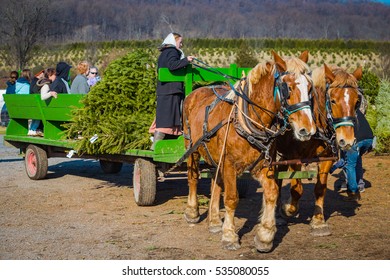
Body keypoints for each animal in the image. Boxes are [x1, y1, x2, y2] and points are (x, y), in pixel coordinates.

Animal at [183, 50, 316, 252]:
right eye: (288, 88)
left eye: (309, 87)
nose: (307, 129)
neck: (248, 121)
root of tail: (197, 92)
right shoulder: (229, 164)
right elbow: (231, 198)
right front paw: (230, 236)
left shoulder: (264, 165)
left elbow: (272, 193)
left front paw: (265, 236)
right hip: (191, 148)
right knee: (193, 178)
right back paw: (192, 212)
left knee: (215, 182)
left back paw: (214, 221)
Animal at [278, 64, 362, 236]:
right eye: (333, 100)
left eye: (357, 101)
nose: (347, 140)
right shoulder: (294, 158)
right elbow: (297, 189)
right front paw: (288, 208)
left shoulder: (326, 158)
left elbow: (320, 189)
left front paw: (318, 220)